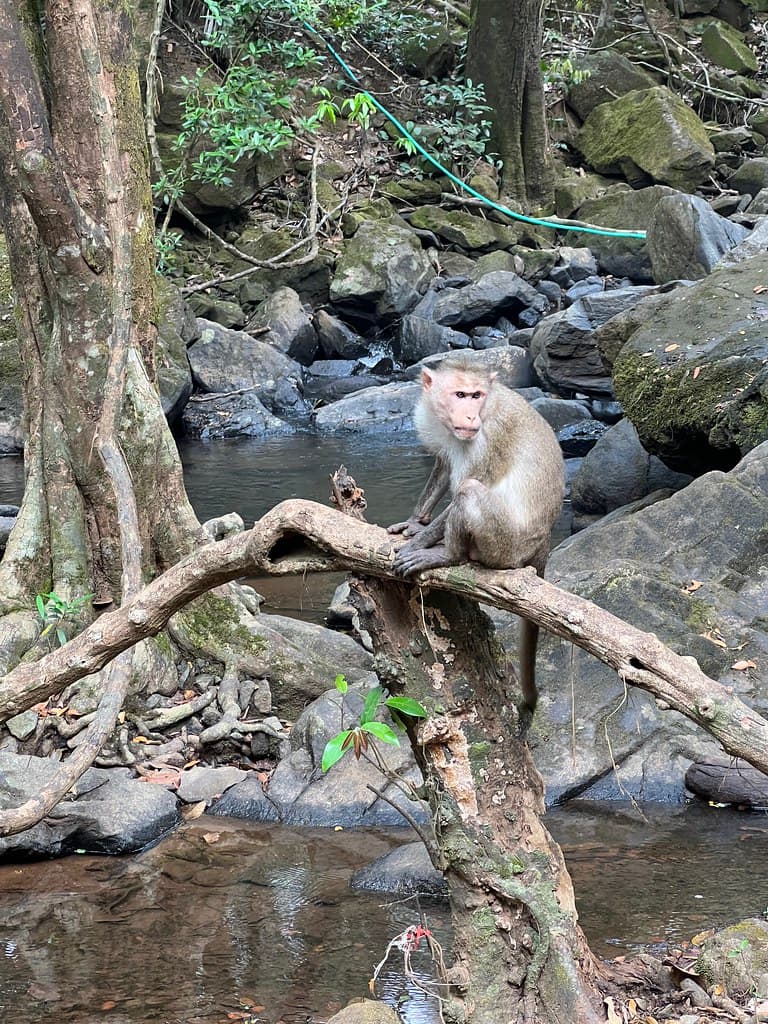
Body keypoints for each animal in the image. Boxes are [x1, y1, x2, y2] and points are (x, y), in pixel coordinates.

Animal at [388, 350, 565, 709]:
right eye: (460, 394)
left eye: (477, 395)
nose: (470, 416)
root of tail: (542, 545)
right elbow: (443, 464)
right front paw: (416, 522)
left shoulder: (489, 435)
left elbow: (465, 487)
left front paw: (420, 544)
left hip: (505, 545)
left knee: (469, 492)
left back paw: (449, 554)